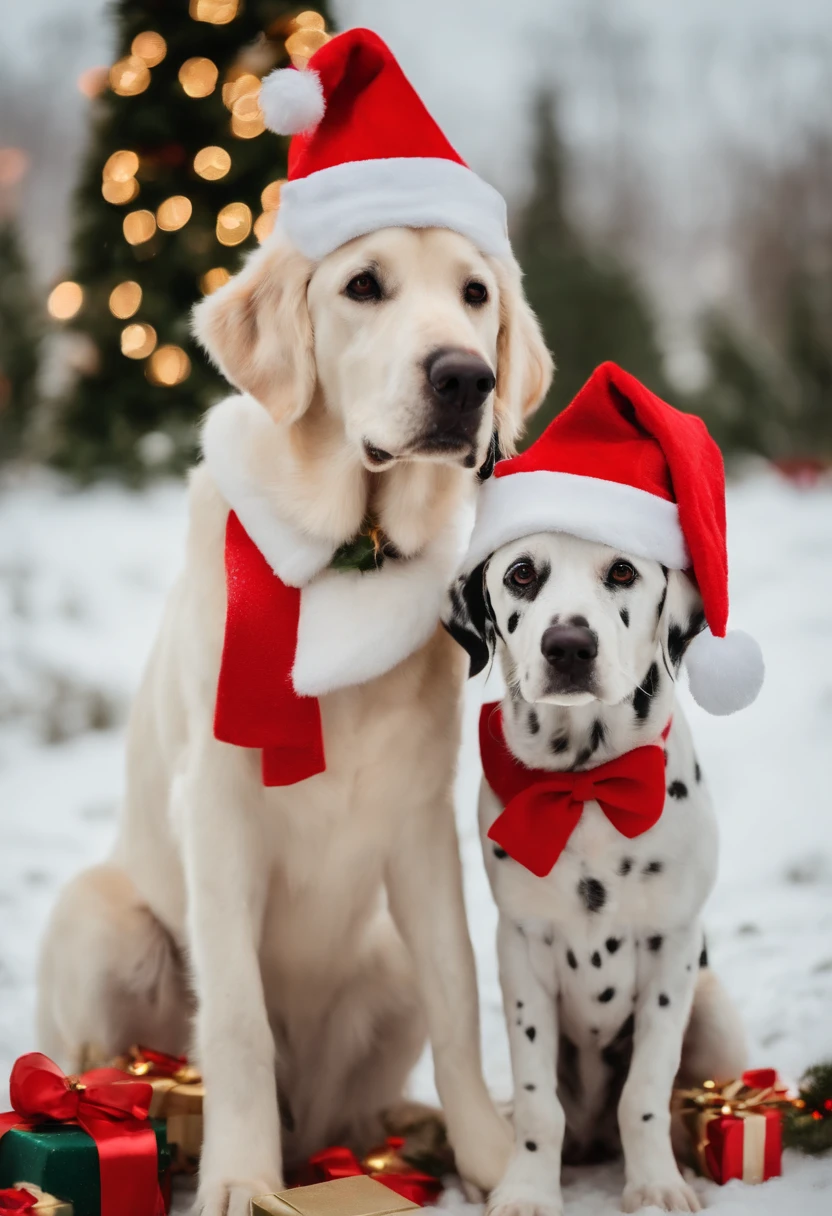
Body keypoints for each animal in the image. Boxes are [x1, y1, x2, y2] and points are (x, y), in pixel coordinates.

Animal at [445, 535, 749, 1216]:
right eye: (521, 573)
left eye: (622, 570)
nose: (568, 646)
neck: (585, 786)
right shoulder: (522, 950)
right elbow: (538, 1106)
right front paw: (527, 1189)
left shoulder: (672, 950)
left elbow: (645, 1094)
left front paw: (657, 1185)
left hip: (714, 1011)